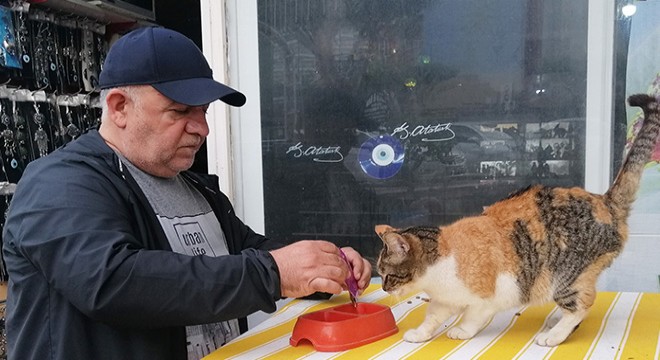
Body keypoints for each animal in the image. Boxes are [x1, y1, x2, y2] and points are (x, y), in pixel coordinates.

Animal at [376, 94, 660, 348]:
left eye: (387, 274)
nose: (385, 289)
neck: (441, 262)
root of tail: (605, 201)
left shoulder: (489, 296)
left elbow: (473, 315)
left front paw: (461, 330)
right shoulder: (444, 299)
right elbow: (432, 317)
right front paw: (420, 334)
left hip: (565, 276)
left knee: (583, 304)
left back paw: (553, 336)